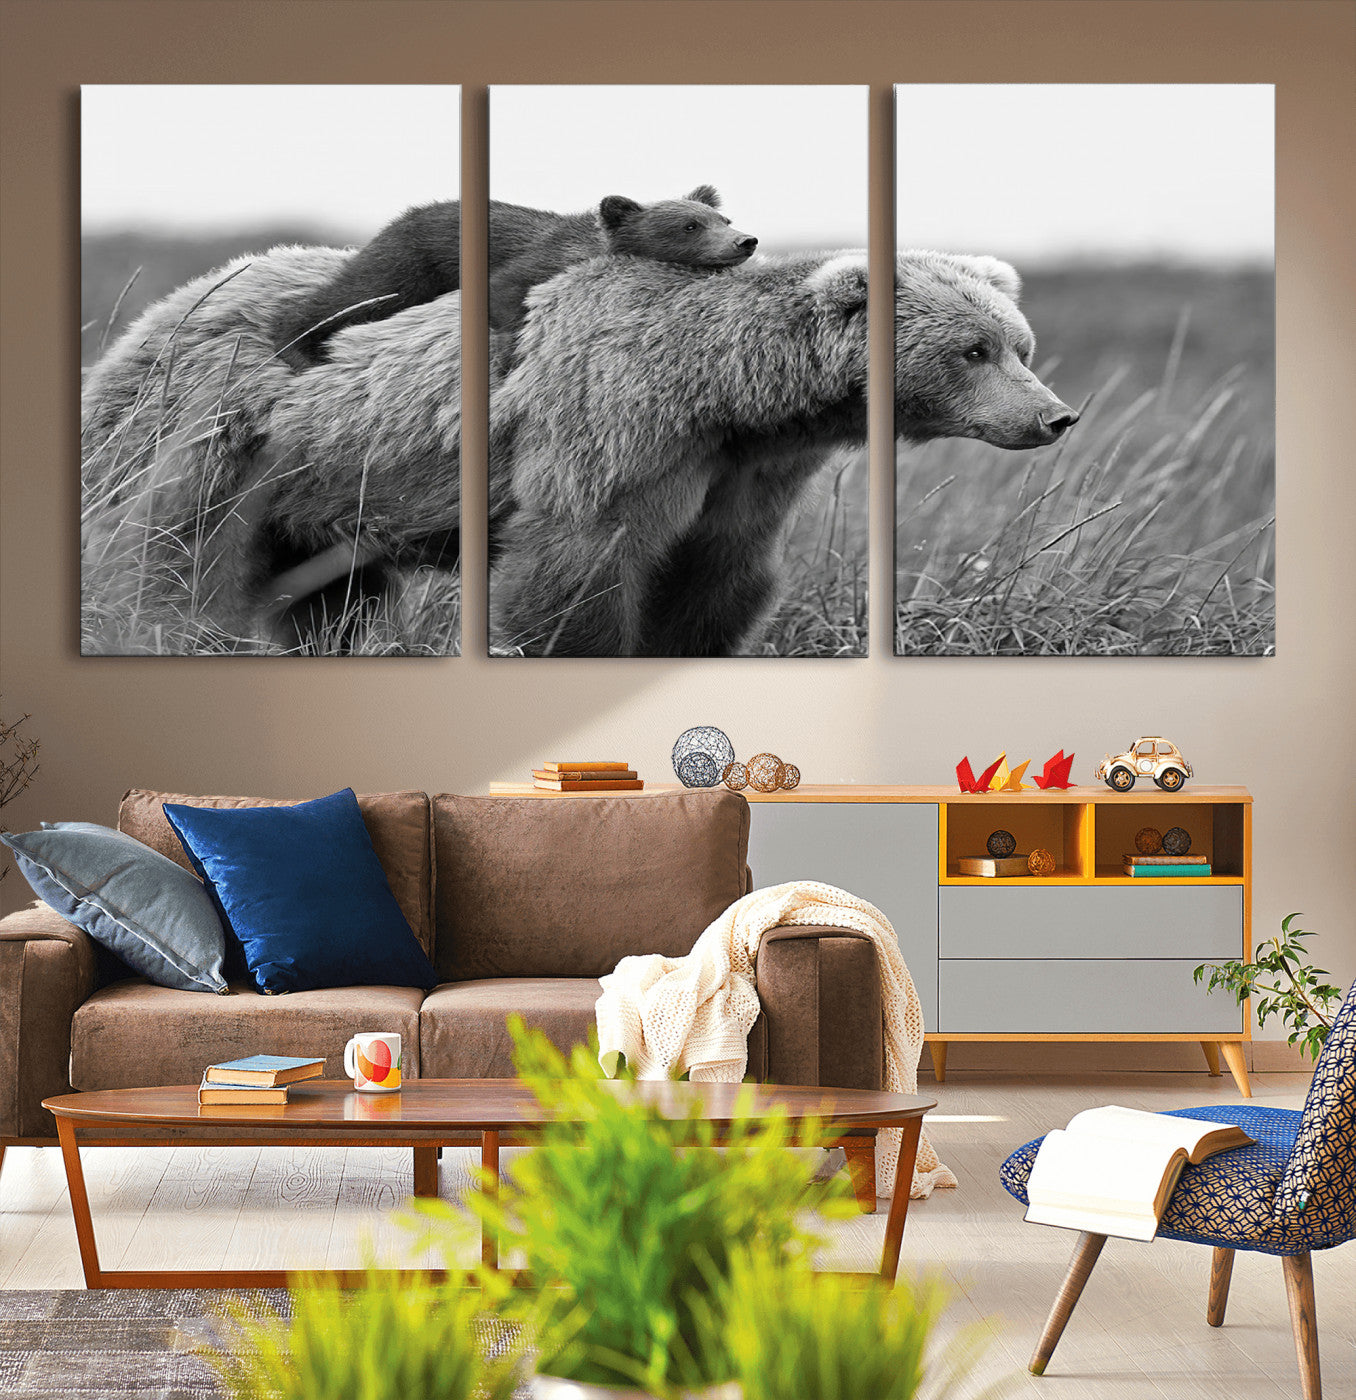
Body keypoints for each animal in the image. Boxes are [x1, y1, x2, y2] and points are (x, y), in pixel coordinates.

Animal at [270, 185, 757, 367]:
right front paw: (509, 352)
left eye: (723, 218)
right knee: (356, 295)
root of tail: (403, 214)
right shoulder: (534, 261)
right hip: (410, 262)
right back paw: (296, 347)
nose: (745, 241)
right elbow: (505, 293)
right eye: (689, 226)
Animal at [488, 248, 1079, 657]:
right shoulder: (619, 440)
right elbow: (579, 571)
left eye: (1021, 348)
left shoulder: (751, 472)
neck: (728, 399)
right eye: (975, 350)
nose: (1056, 416)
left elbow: (714, 584)